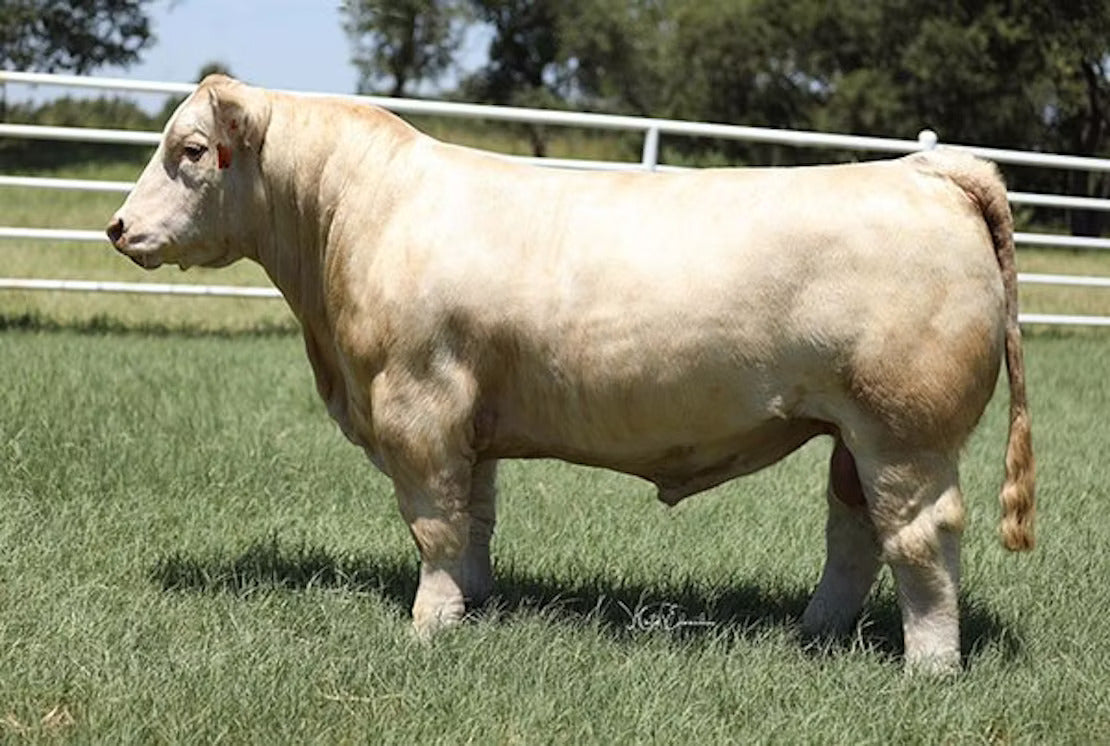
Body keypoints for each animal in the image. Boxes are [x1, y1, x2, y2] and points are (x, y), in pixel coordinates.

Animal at [107, 75, 1034, 673]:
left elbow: (432, 524)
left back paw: (929, 669)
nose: (117, 227)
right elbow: (473, 519)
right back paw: (813, 635)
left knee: (920, 539)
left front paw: (428, 628)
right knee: (854, 536)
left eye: (192, 149)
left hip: (904, 429)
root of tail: (928, 170)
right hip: (851, 431)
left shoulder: (417, 404)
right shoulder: (470, 419)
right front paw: (474, 605)